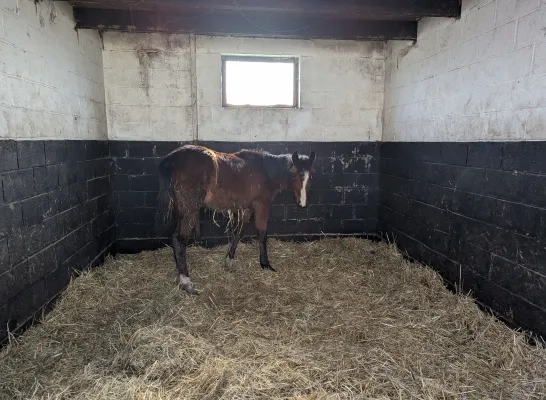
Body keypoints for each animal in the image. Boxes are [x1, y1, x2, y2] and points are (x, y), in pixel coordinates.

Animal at [155, 145, 314, 294]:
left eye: (310, 176)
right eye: (294, 174)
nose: (302, 204)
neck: (266, 172)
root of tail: (173, 158)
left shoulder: (247, 208)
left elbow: (239, 232)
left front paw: (229, 261)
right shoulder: (262, 205)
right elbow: (262, 234)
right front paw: (265, 264)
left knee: (175, 238)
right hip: (190, 209)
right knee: (180, 238)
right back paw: (186, 281)